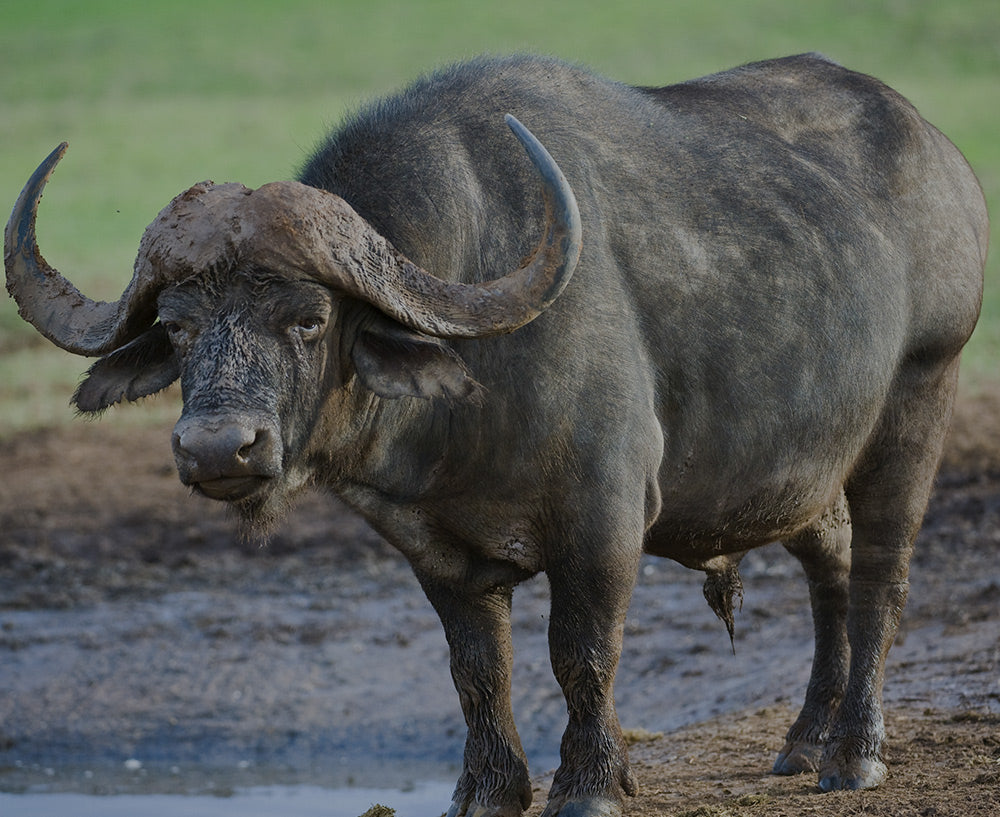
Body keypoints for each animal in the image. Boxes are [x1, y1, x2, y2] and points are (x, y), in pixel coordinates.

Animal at [5, 54, 987, 816]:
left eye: (309, 319)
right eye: (176, 329)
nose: (218, 449)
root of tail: (943, 157)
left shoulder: (602, 520)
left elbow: (582, 654)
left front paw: (590, 784)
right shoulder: (434, 550)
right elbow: (477, 668)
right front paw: (487, 789)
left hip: (920, 394)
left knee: (882, 575)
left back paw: (853, 754)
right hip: (805, 465)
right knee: (831, 566)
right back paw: (802, 741)